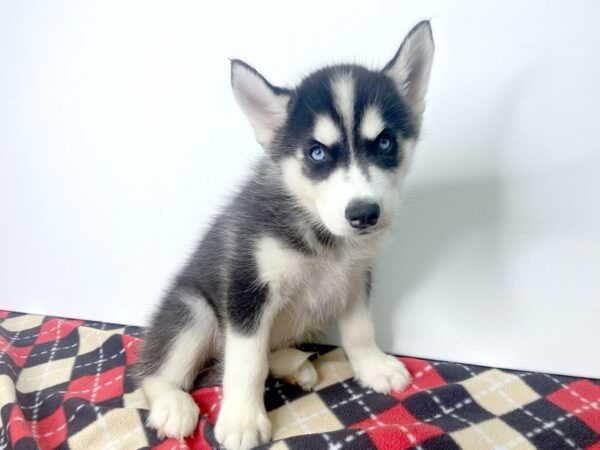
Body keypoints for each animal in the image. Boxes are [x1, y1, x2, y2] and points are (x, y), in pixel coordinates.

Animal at [135, 20, 434, 446]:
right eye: (317, 152)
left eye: (385, 142)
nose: (363, 214)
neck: (321, 235)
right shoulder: (247, 288)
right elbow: (247, 362)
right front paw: (242, 420)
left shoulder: (354, 278)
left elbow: (360, 330)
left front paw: (373, 367)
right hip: (194, 311)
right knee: (153, 374)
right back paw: (173, 403)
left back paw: (293, 362)